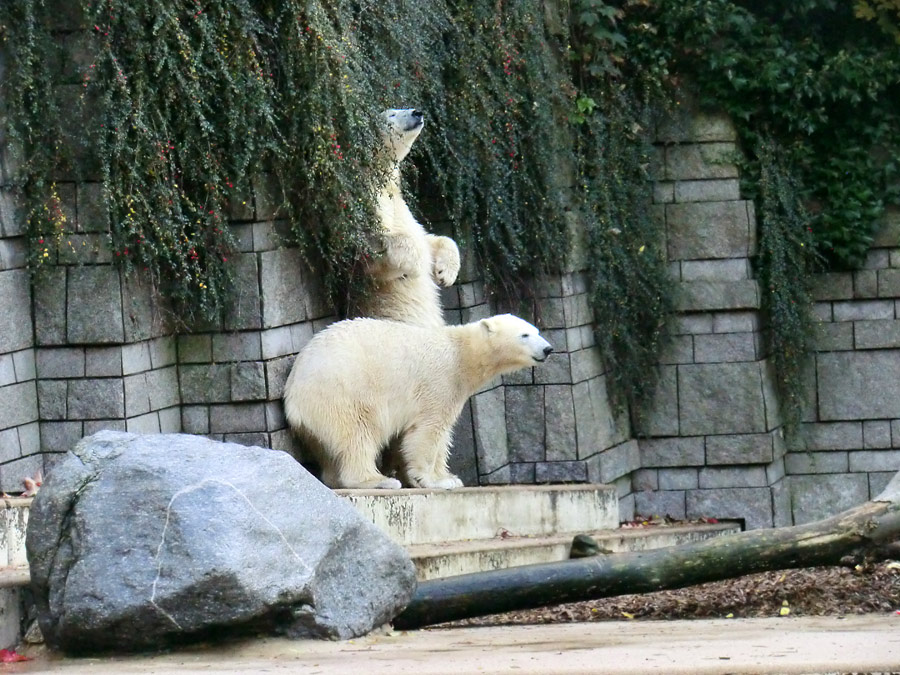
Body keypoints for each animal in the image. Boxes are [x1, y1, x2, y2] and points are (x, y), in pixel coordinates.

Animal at [284, 314, 552, 488]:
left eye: (537, 331)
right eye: (525, 334)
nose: (548, 349)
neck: (461, 354)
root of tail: (293, 392)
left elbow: (443, 435)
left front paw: (449, 478)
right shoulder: (440, 381)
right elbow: (427, 431)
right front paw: (430, 480)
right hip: (343, 392)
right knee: (358, 434)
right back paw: (378, 480)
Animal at [358, 107, 460, 328]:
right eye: (391, 114)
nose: (417, 112)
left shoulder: (401, 207)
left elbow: (428, 239)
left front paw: (445, 273)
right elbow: (373, 249)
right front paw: (415, 265)